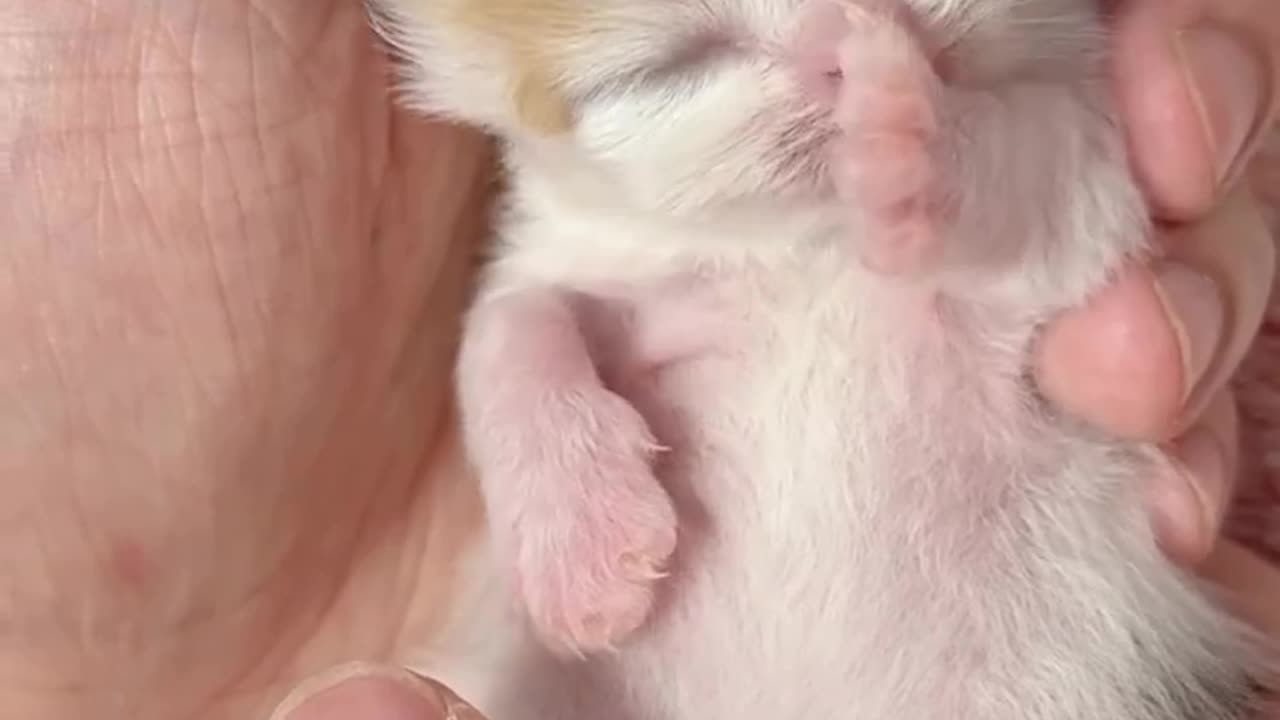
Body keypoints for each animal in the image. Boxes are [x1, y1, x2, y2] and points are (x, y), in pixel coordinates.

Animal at [368, 0, 1269, 712]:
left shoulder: (1085, 192)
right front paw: (581, 550)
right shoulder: (585, 246)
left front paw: (911, 130)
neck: (812, 238)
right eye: (664, 72)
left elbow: (1029, 152)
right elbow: (508, 317)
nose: (851, 36)